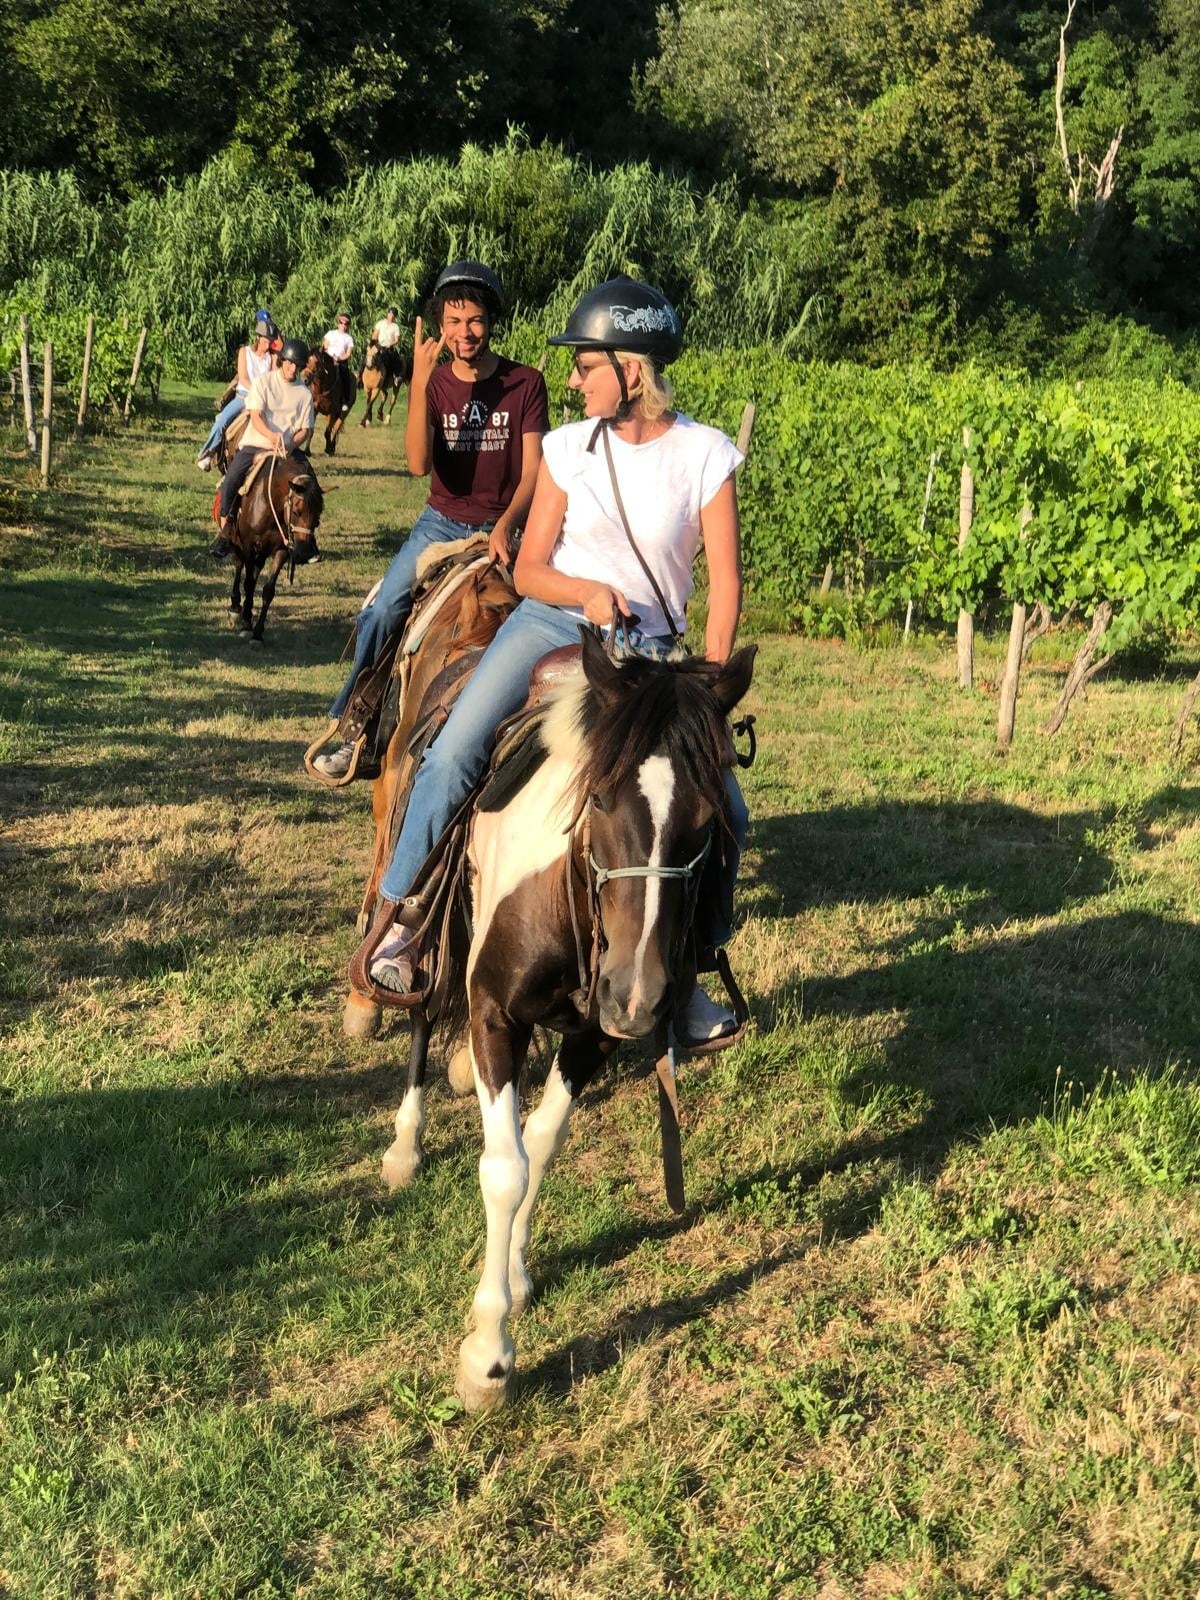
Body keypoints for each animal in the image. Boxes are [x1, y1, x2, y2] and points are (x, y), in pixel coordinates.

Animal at [225, 452, 323, 645]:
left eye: (318, 515)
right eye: (297, 511)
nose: (305, 553)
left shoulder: (281, 550)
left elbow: (268, 591)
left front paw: (257, 633)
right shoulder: (249, 547)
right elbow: (249, 584)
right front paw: (246, 625)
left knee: (256, 569)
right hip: (237, 542)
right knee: (239, 566)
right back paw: (235, 608)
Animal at [372, 630, 756, 1409]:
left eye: (710, 821)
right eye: (599, 800)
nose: (637, 996)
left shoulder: (592, 1036)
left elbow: (542, 1144)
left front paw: (517, 1273)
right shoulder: (495, 1015)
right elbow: (504, 1168)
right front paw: (488, 1356)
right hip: (436, 930)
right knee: (423, 1013)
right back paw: (404, 1146)